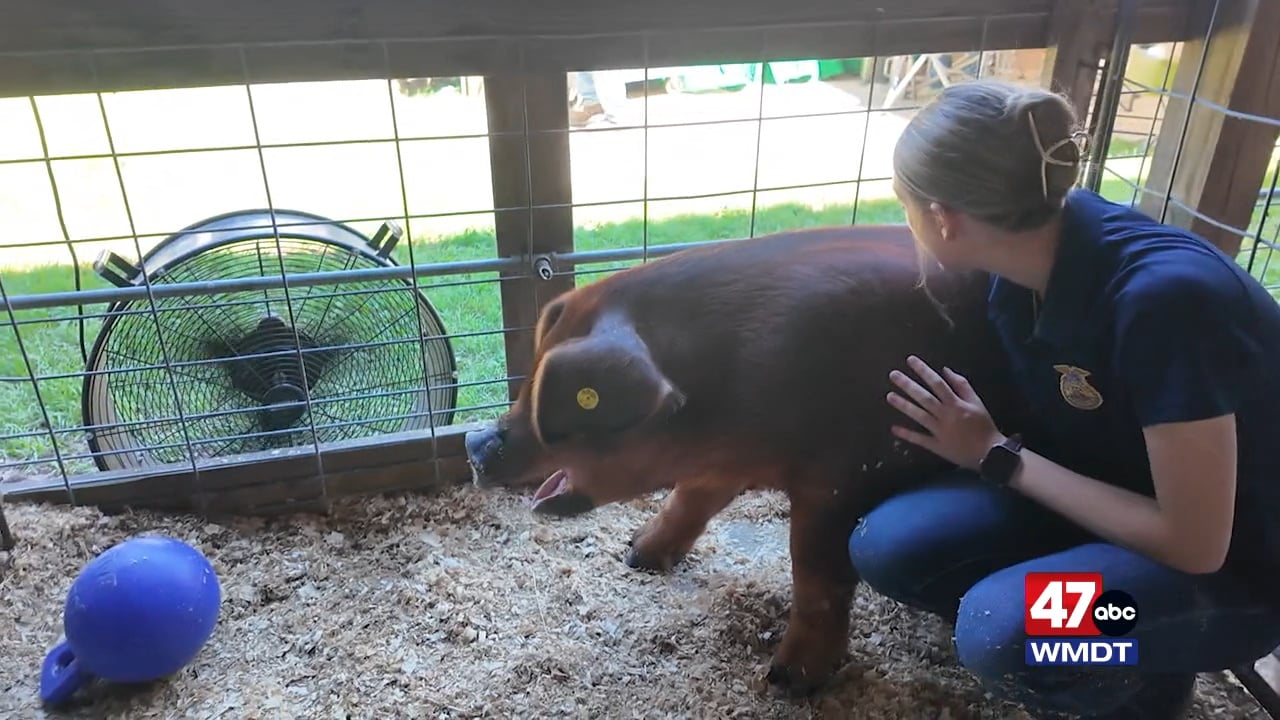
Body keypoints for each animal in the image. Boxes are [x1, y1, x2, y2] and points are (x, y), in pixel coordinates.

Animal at [464, 224, 1023, 695]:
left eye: (553, 407)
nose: (473, 441)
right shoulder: (722, 465)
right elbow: (690, 499)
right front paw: (636, 555)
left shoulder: (841, 480)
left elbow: (816, 571)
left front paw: (787, 680)